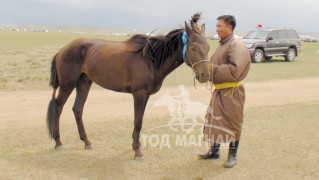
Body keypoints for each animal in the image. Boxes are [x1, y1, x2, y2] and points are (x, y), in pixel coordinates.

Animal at [46, 12, 211, 160]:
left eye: (208, 47)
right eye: (193, 47)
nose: (205, 75)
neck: (150, 59)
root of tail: (62, 50)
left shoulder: (146, 95)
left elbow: (140, 119)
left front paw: (135, 145)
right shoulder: (139, 94)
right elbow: (137, 121)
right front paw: (137, 151)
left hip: (84, 83)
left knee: (77, 109)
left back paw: (87, 142)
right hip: (67, 85)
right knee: (58, 107)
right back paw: (58, 142)